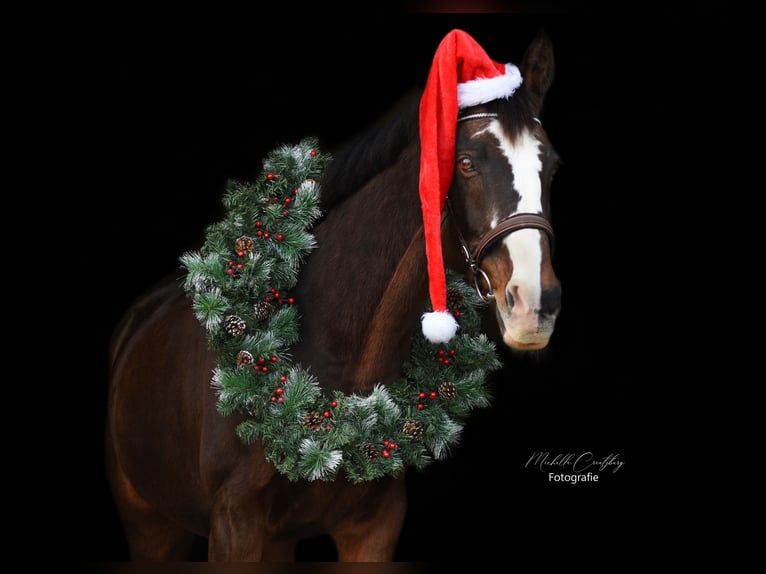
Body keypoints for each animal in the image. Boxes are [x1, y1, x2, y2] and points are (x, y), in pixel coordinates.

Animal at [105, 29, 561, 562]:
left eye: (551, 165)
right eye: (466, 163)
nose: (536, 305)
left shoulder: (374, 527)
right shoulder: (233, 526)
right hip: (151, 527)